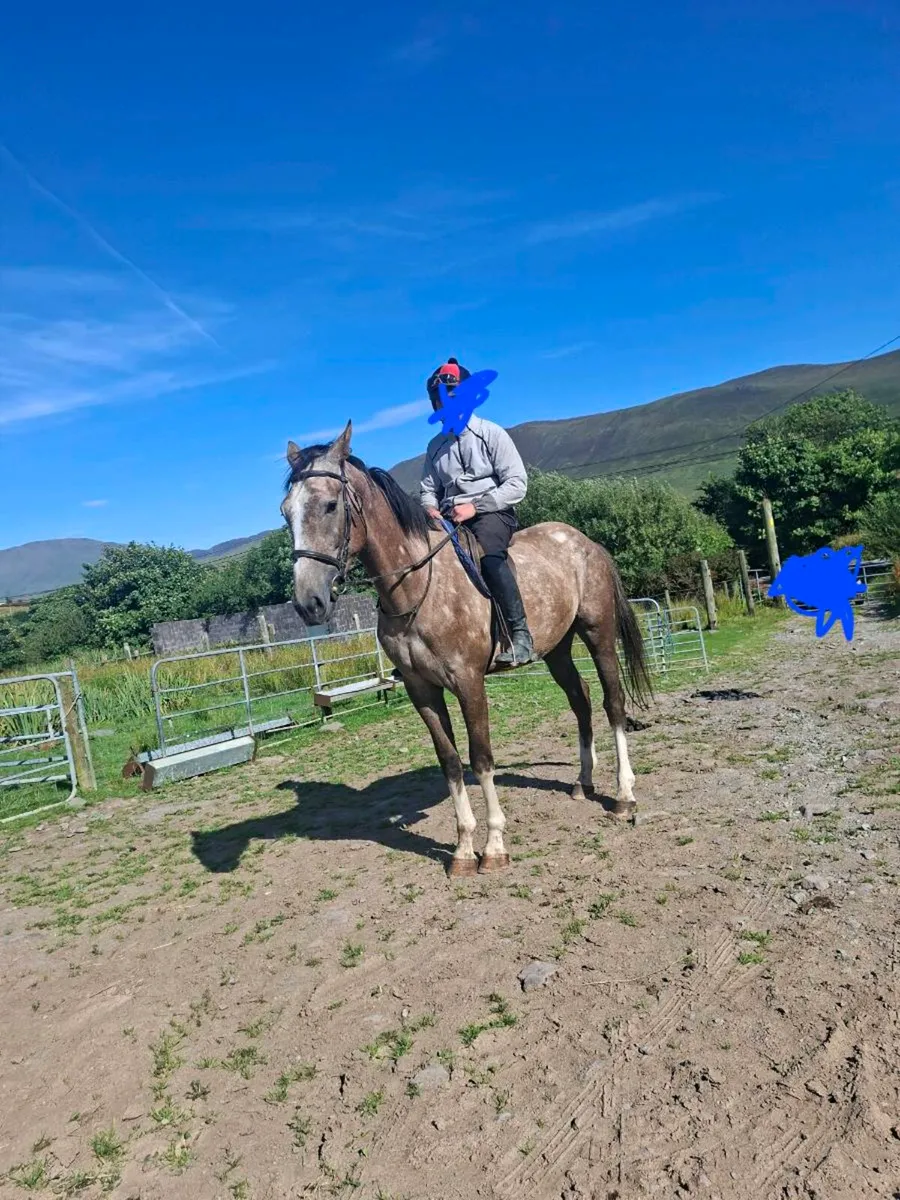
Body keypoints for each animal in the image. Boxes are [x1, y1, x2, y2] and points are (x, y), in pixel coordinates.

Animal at [281, 421, 653, 877]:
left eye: (331, 505)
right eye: (286, 511)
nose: (308, 603)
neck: (415, 588)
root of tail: (588, 544)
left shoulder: (469, 683)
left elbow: (481, 758)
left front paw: (493, 847)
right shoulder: (421, 690)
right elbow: (451, 762)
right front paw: (461, 850)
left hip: (598, 635)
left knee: (612, 703)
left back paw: (623, 796)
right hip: (557, 649)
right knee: (580, 700)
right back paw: (583, 783)